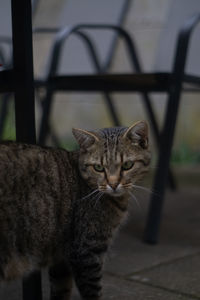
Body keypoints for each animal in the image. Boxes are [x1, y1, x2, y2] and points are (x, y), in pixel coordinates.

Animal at [0, 120, 151, 298]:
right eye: (99, 167)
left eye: (127, 165)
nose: (113, 184)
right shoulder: (86, 252)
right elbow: (93, 292)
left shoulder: (61, 258)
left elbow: (61, 290)